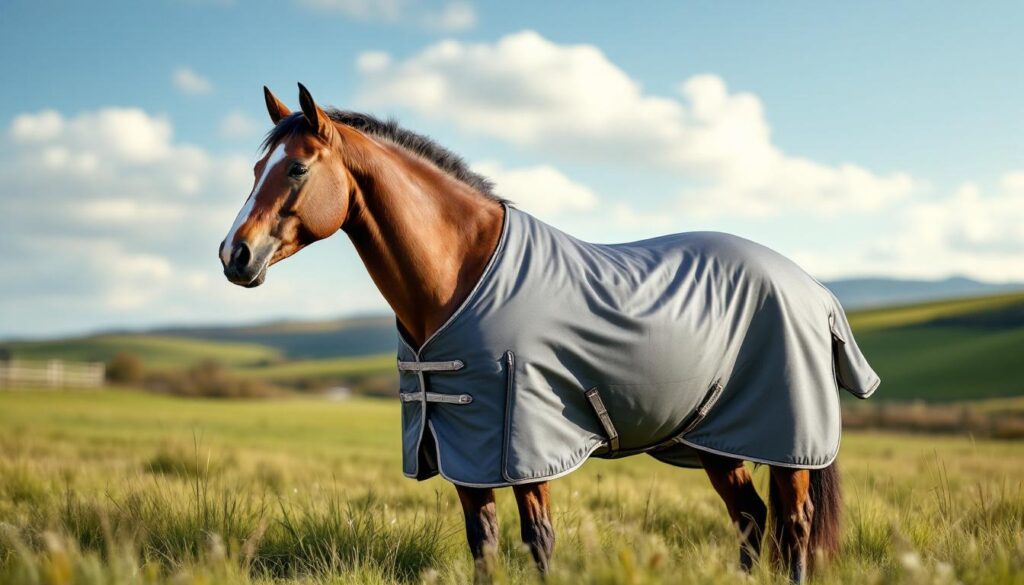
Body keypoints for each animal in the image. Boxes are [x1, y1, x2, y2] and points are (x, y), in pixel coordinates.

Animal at [219, 84, 879, 583]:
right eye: (254, 169)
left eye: (297, 168)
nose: (234, 255)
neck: (460, 274)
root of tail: (814, 289)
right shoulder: (464, 450)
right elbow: (482, 543)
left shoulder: (525, 449)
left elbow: (539, 542)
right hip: (719, 440)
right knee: (750, 516)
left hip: (785, 439)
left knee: (794, 526)